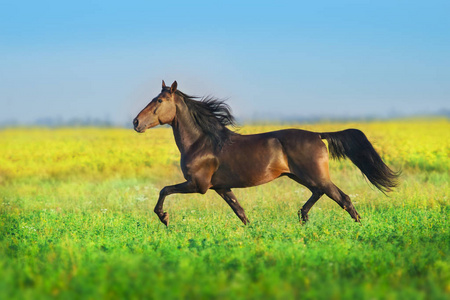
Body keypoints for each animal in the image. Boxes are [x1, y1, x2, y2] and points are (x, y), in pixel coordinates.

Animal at [132, 81, 400, 226]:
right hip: (301, 176)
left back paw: (359, 228)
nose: (136, 122)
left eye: (159, 101)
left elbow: (164, 190)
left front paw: (164, 217)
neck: (202, 142)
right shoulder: (222, 188)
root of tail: (317, 135)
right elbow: (240, 212)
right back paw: (302, 218)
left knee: (342, 198)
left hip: (315, 176)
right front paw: (253, 232)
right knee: (319, 193)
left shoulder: (198, 185)